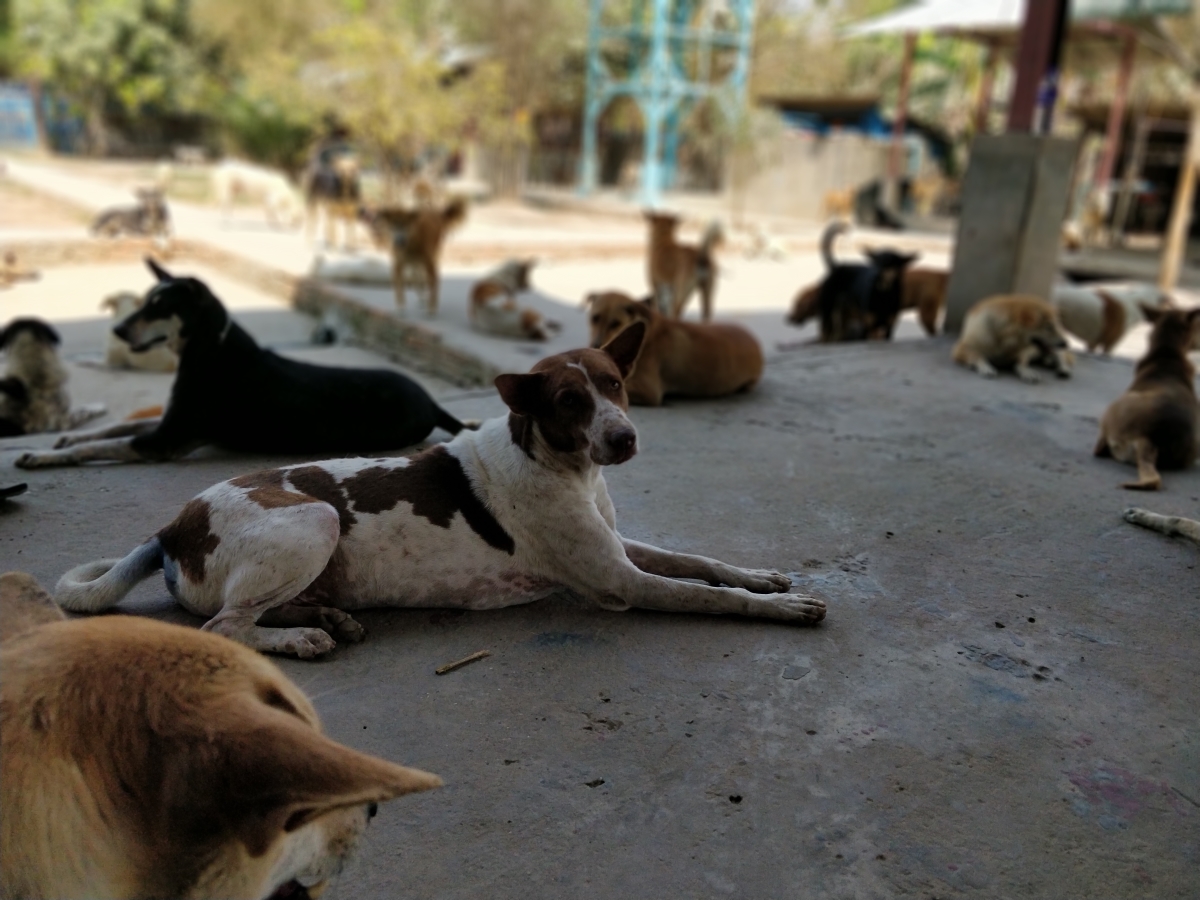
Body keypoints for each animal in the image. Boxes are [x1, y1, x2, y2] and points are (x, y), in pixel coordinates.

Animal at [56, 321, 825, 657]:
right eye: (569, 401)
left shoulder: (621, 547)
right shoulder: (621, 582)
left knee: (244, 615)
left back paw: (320, 615)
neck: (563, 467)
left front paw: (764, 577)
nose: (624, 439)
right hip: (313, 521)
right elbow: (709, 595)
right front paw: (782, 611)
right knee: (224, 628)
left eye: (614, 385)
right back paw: (302, 637)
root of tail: (170, 527)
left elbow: (702, 562)